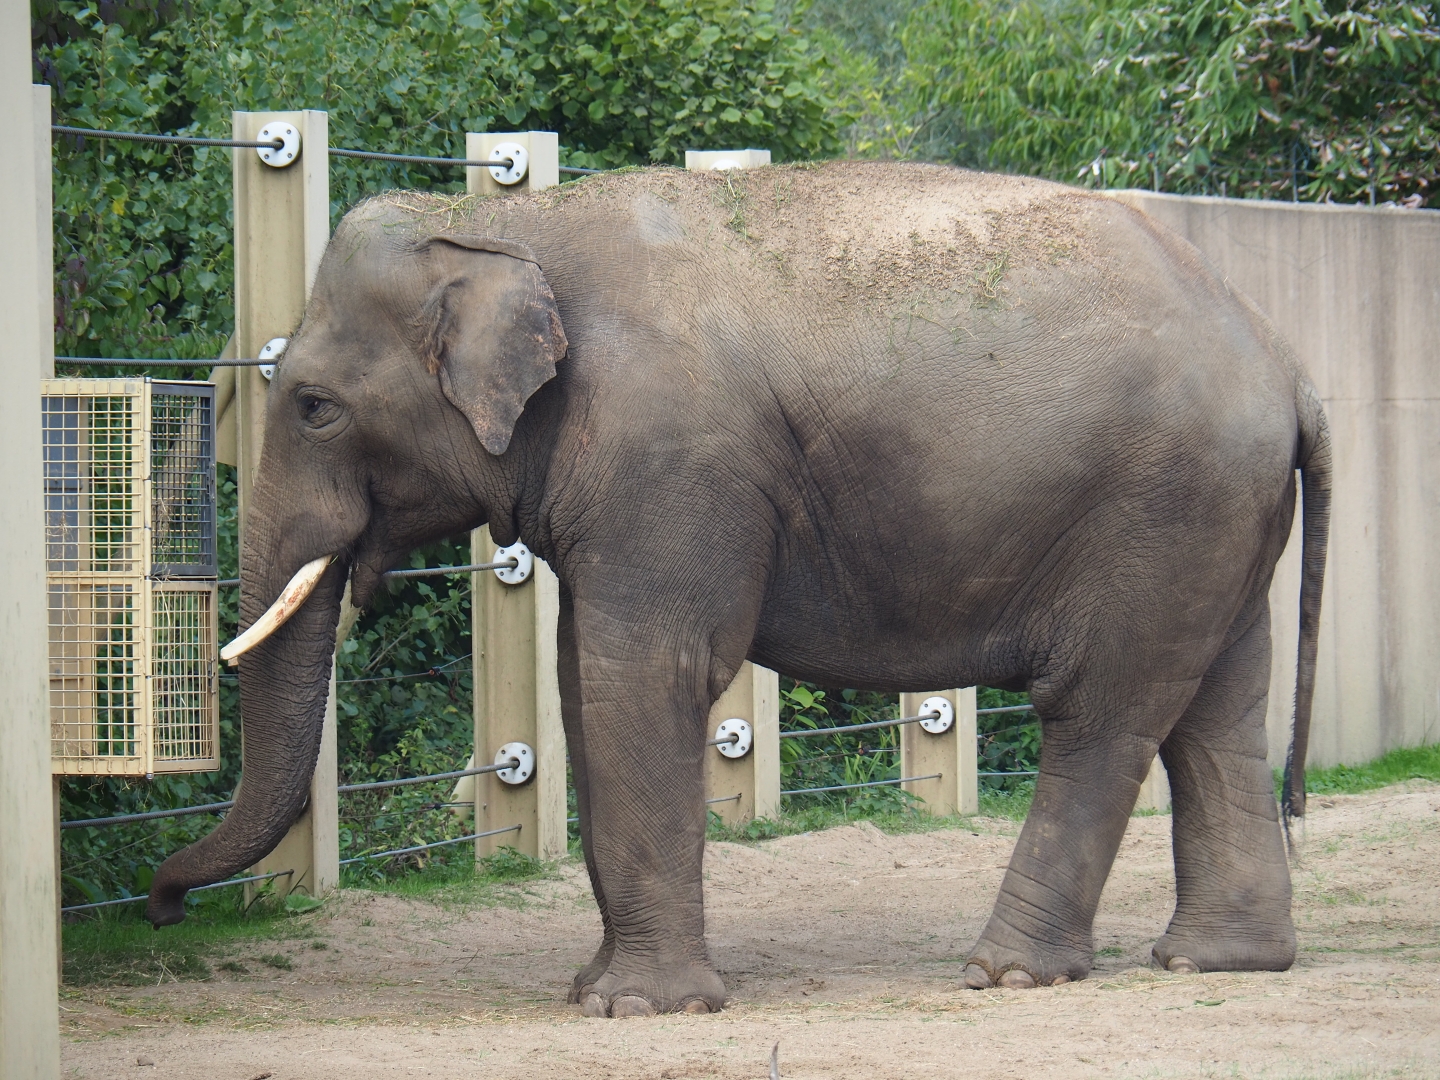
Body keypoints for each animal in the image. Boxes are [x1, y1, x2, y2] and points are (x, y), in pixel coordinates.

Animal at [146, 160, 1330, 1016]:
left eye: (312, 407)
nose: (160, 901)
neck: (502, 222)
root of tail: (1286, 360)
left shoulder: (671, 459)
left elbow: (646, 673)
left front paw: (638, 1010)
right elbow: (585, 683)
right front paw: (595, 992)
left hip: (1162, 508)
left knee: (1101, 711)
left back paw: (1008, 974)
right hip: (1216, 518)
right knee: (1217, 709)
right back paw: (1216, 963)